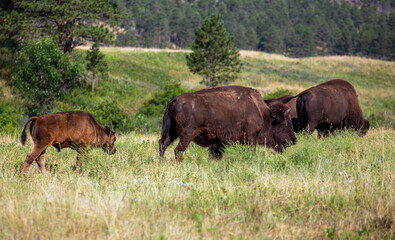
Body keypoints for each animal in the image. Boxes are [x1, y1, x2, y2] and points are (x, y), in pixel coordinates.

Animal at [159, 85, 296, 159]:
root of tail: (175, 100)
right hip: (186, 135)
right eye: (287, 123)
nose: (294, 140)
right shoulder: (251, 137)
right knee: (177, 150)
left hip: (172, 132)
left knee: (163, 144)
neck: (262, 112)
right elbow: (252, 150)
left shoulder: (218, 143)